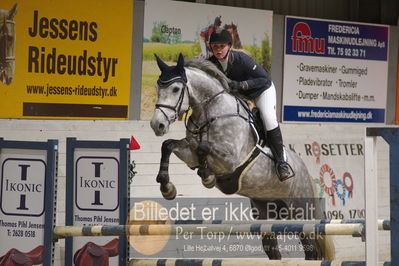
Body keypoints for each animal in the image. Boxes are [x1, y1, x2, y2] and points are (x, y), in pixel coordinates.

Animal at [150, 54, 334, 260]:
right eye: (158, 88)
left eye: (175, 89)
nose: (157, 125)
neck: (209, 112)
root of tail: (308, 175)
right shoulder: (190, 153)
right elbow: (169, 145)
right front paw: (167, 187)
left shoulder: (230, 159)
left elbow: (203, 147)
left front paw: (207, 177)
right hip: (266, 214)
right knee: (274, 251)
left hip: (301, 214)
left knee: (310, 250)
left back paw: (284, 170)